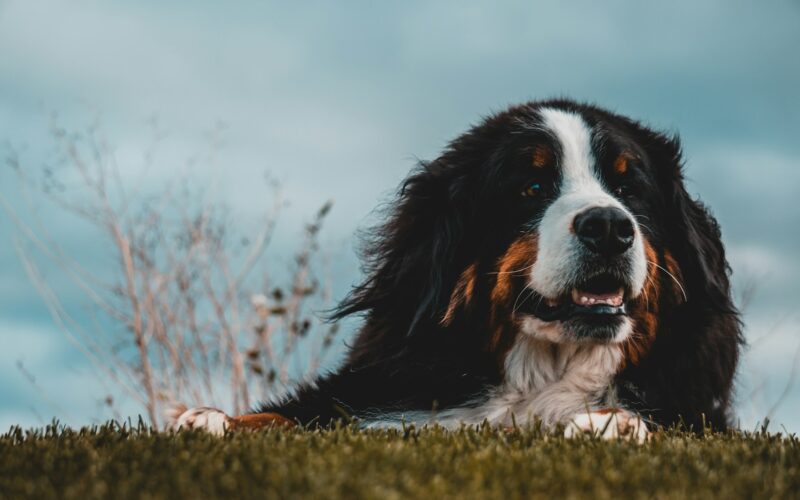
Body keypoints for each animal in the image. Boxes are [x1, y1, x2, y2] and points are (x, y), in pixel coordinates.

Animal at [170, 96, 744, 438]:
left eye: (629, 188)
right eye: (532, 187)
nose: (608, 226)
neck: (536, 382)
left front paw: (611, 424)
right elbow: (292, 415)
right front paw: (209, 419)